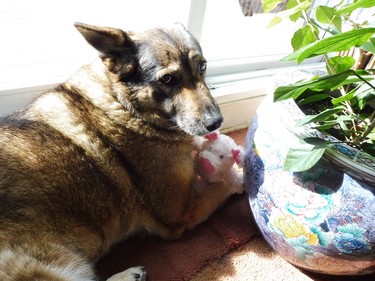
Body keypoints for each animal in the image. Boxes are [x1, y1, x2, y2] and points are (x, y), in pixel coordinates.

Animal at [0, 22, 244, 280]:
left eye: (203, 66)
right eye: (168, 79)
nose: (216, 122)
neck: (123, 103)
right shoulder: (181, 213)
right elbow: (222, 185)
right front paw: (245, 173)